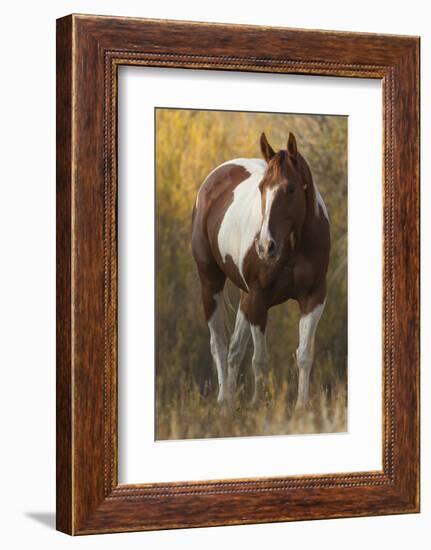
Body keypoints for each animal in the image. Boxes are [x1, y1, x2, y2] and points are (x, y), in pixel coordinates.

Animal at [192, 133, 330, 410]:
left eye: (291, 188)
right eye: (262, 188)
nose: (266, 246)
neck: (294, 244)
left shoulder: (314, 298)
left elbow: (304, 355)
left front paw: (302, 407)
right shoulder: (259, 298)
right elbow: (260, 359)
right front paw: (258, 405)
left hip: (245, 297)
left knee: (234, 349)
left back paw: (230, 403)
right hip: (211, 283)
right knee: (219, 344)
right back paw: (223, 401)